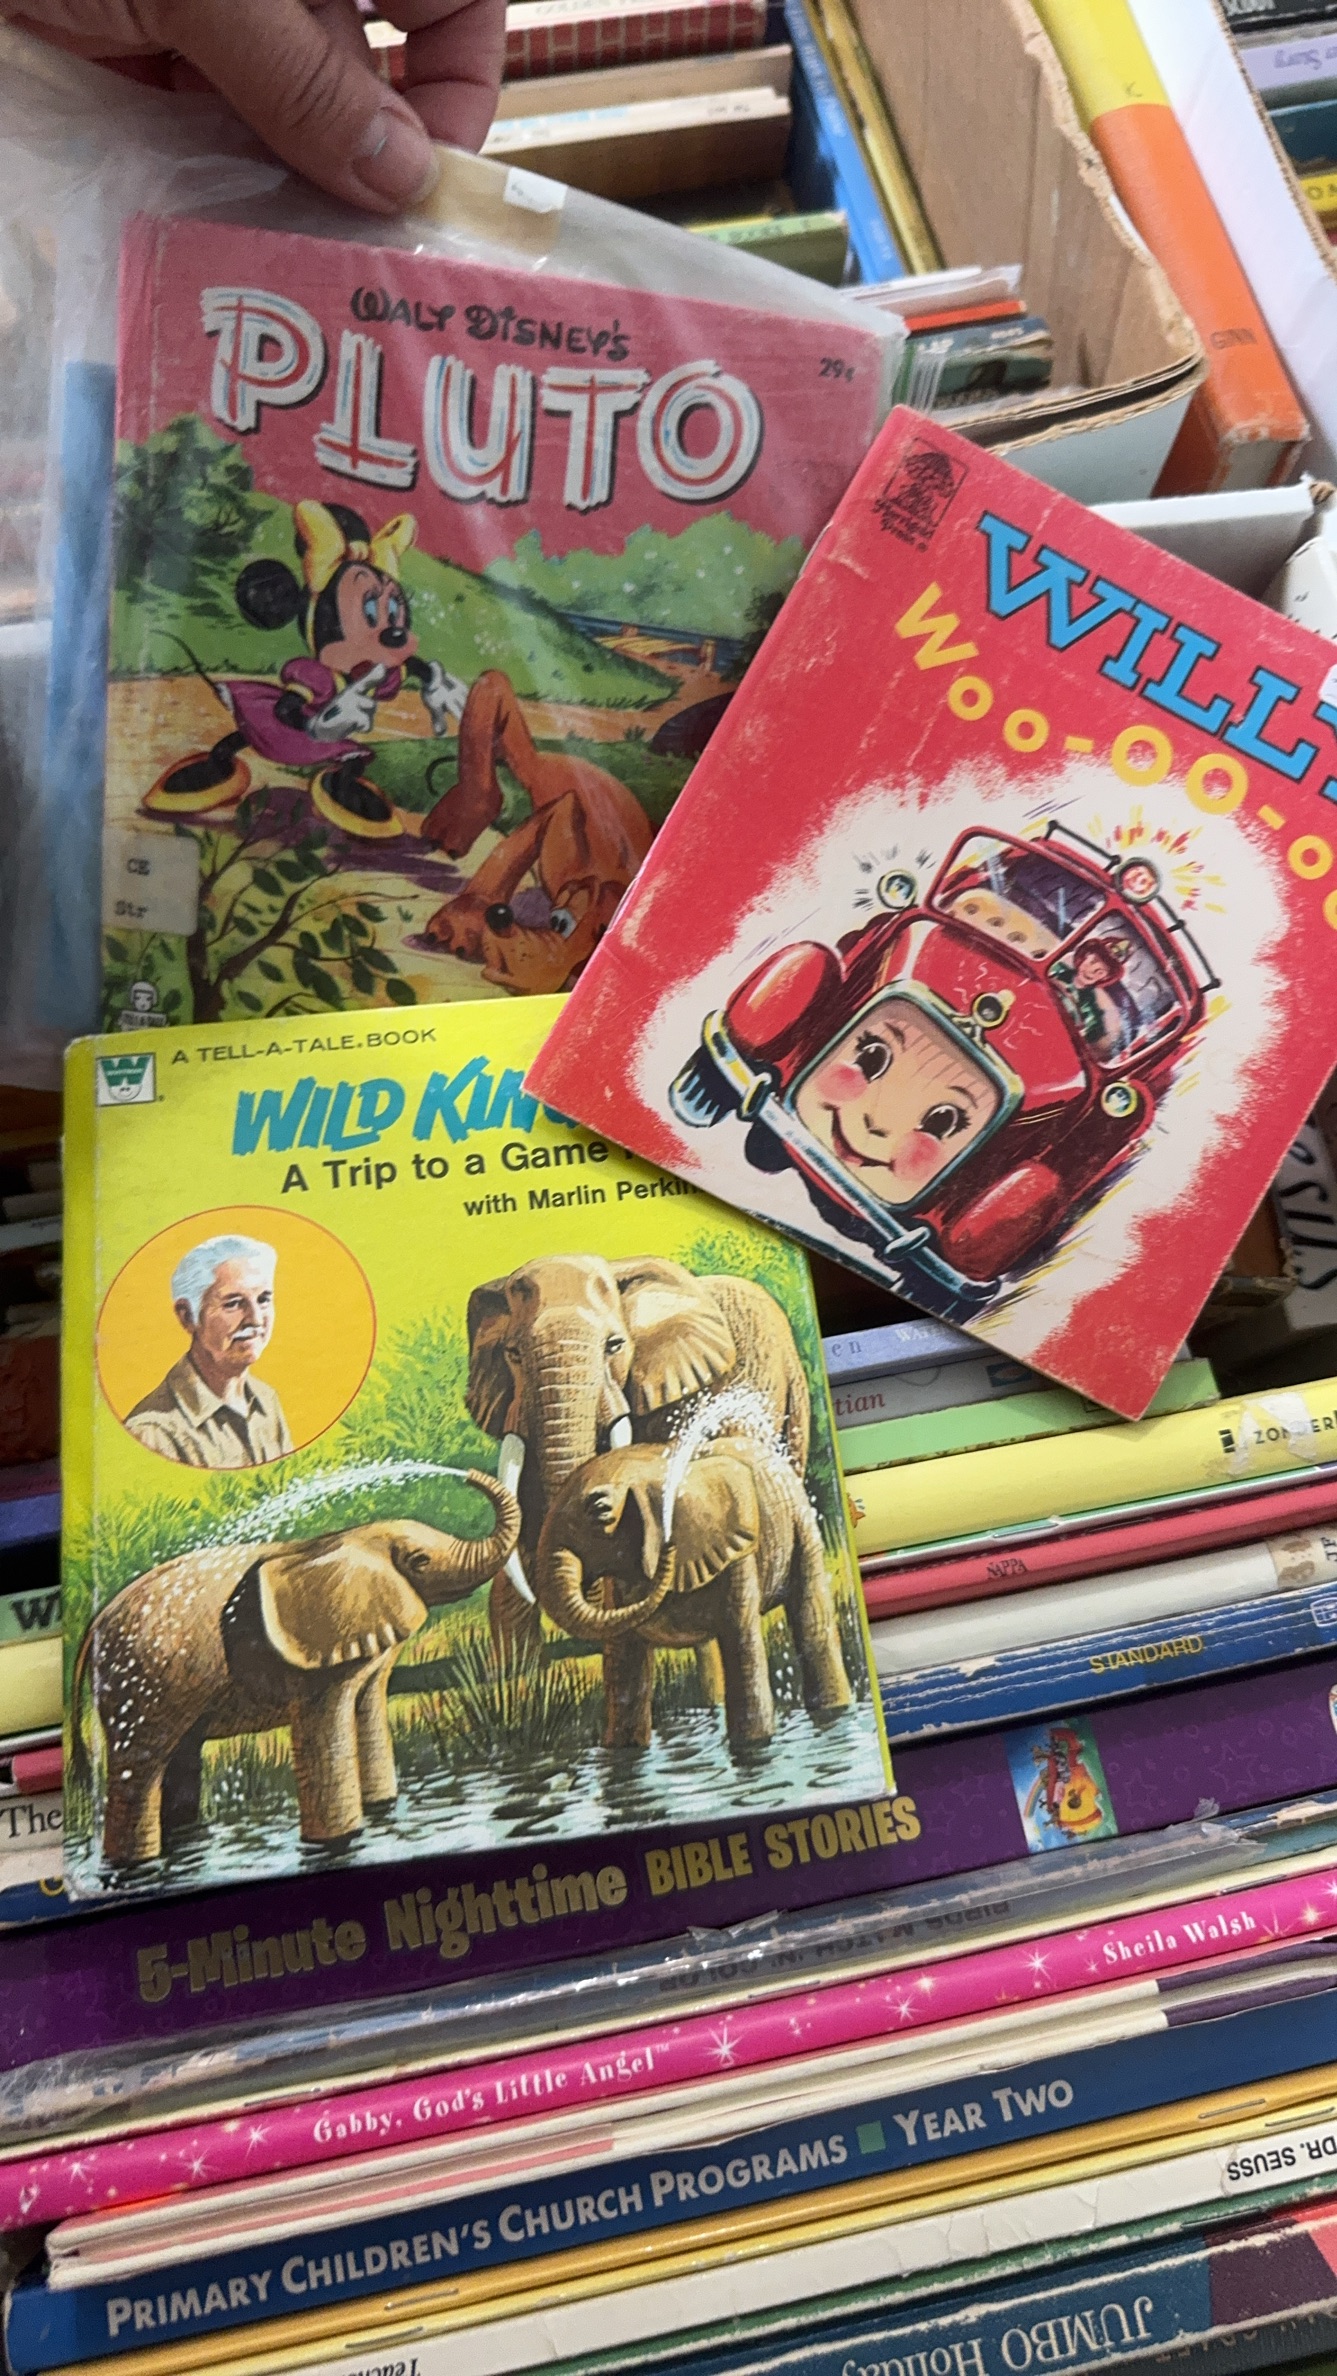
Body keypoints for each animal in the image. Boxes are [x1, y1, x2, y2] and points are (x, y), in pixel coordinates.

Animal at [70, 1475, 519, 1865]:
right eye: (419, 1560)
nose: (467, 1476)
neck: (345, 1538)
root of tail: (95, 1624)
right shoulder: (313, 1667)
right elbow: (324, 1731)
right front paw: (338, 1841)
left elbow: (369, 1713)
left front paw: (382, 1810)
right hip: (138, 1687)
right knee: (139, 1773)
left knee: (181, 1759)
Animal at [534, 1434, 853, 1748]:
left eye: (600, 1511)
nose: (667, 1548)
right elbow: (624, 1667)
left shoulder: (737, 1554)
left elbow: (741, 1647)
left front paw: (754, 1745)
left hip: (801, 1524)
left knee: (811, 1619)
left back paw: (834, 1711)